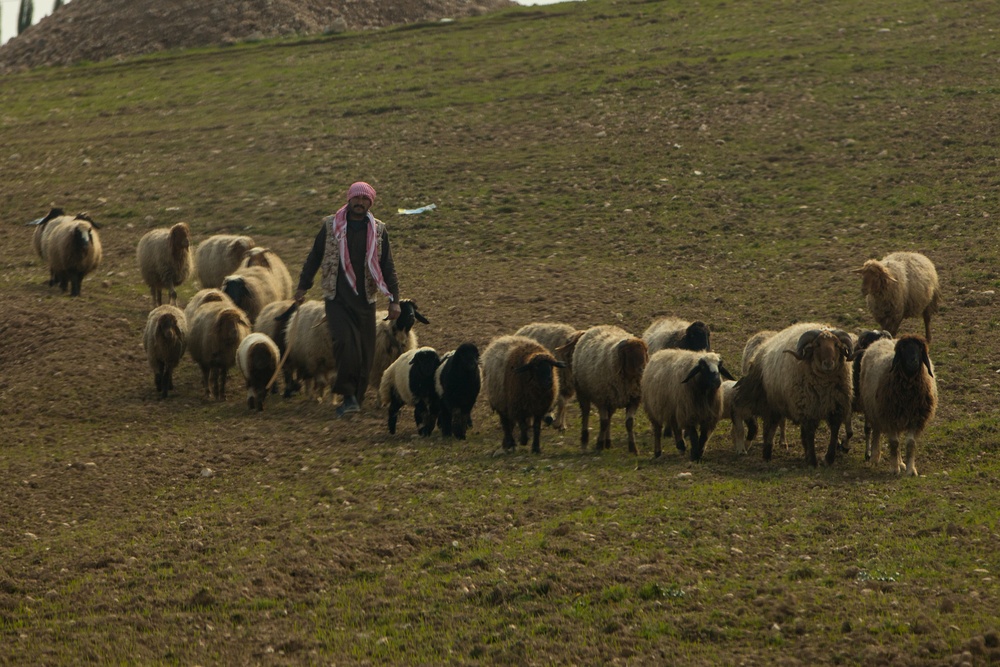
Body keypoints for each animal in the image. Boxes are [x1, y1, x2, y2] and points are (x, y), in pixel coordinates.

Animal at [572, 328, 648, 456]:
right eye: (630, 352)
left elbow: (629, 423)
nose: (642, 370)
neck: (628, 380)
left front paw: (633, 448)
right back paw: (585, 441)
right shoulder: (601, 398)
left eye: (644, 351)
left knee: (610, 416)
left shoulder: (633, 399)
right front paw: (599, 445)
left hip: (612, 399)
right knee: (586, 413)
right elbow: (603, 422)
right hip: (583, 391)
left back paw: (608, 442)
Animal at [732, 320, 856, 468]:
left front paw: (828, 459)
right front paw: (813, 461)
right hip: (771, 403)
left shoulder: (836, 408)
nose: (828, 363)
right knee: (770, 428)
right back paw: (767, 454)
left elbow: (834, 432)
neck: (824, 386)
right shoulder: (807, 409)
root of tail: (763, 348)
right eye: (817, 345)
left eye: (837, 345)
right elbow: (810, 434)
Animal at [860, 334, 936, 474]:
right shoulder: (888, 416)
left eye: (920, 349)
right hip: (874, 410)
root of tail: (883, 340)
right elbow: (894, 443)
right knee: (877, 432)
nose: (913, 361)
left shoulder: (916, 419)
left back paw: (901, 463)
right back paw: (874, 457)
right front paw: (894, 468)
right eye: (903, 349)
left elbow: (910, 443)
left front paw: (910, 469)